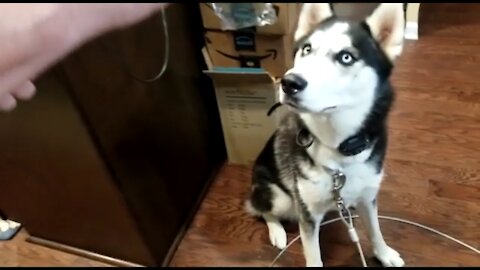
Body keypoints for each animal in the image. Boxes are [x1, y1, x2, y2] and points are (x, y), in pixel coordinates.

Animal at [246, 2, 406, 268]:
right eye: (307, 49)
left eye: (346, 57)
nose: (289, 83)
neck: (339, 148)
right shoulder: (308, 214)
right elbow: (314, 255)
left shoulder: (368, 195)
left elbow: (375, 229)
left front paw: (383, 253)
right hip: (280, 197)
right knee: (263, 210)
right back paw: (276, 231)